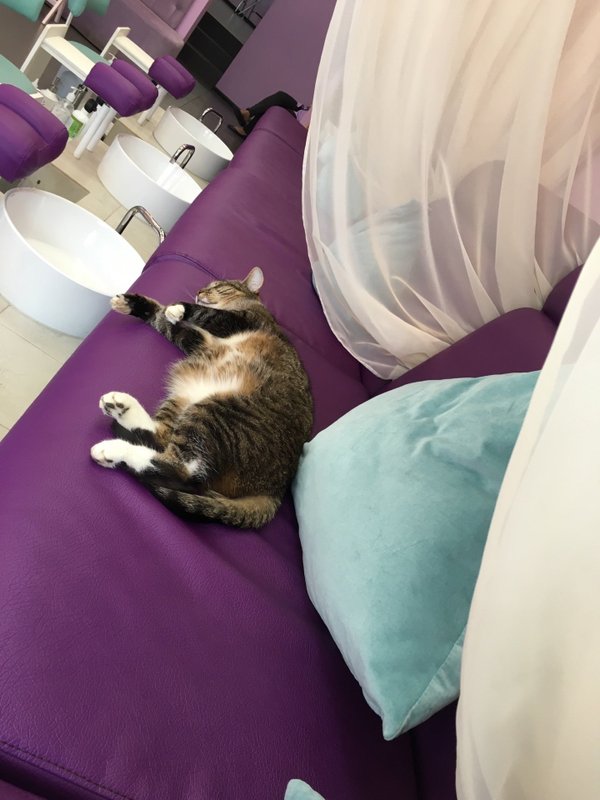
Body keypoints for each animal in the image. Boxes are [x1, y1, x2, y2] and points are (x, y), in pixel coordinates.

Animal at [90, 267, 313, 529]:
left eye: (219, 286)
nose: (199, 291)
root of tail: (275, 490)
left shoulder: (243, 320)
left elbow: (203, 312)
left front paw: (179, 307)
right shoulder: (197, 340)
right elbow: (162, 319)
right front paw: (131, 303)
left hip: (214, 412)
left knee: (184, 474)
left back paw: (112, 450)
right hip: (183, 399)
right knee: (162, 438)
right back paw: (121, 407)